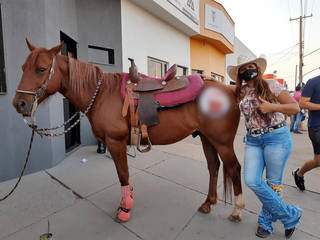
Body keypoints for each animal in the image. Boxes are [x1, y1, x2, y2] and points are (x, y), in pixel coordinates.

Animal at [11, 40, 242, 222]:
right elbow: (124, 176)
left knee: (234, 168)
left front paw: (125, 209)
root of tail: (230, 90)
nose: (19, 103)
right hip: (206, 138)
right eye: (22, 67)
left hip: (222, 142)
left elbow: (123, 175)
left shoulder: (115, 142)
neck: (102, 94)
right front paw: (127, 200)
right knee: (213, 167)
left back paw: (237, 211)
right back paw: (208, 203)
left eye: (41, 69)